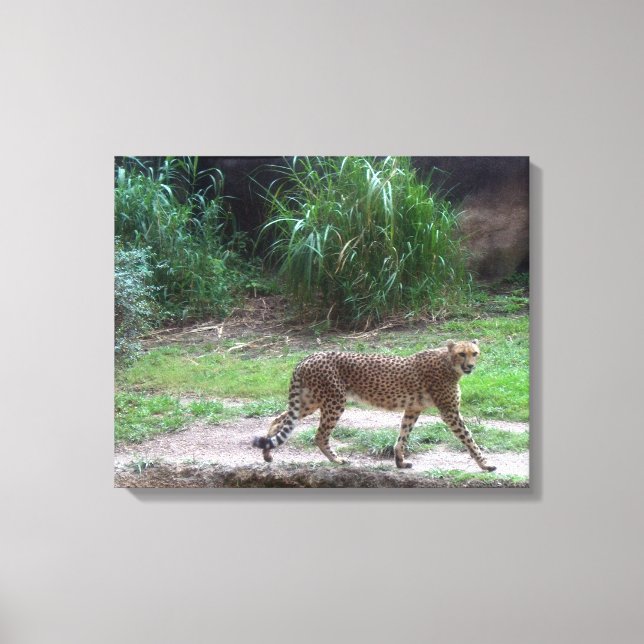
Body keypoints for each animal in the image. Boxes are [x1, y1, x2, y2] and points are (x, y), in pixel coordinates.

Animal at [252, 339, 496, 472]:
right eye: (461, 353)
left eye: (475, 353)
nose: (470, 366)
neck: (448, 362)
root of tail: (309, 356)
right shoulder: (450, 411)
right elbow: (469, 439)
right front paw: (485, 465)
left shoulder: (413, 409)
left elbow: (403, 436)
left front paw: (399, 461)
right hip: (334, 401)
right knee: (319, 435)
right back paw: (337, 460)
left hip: (310, 401)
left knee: (280, 419)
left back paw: (267, 453)